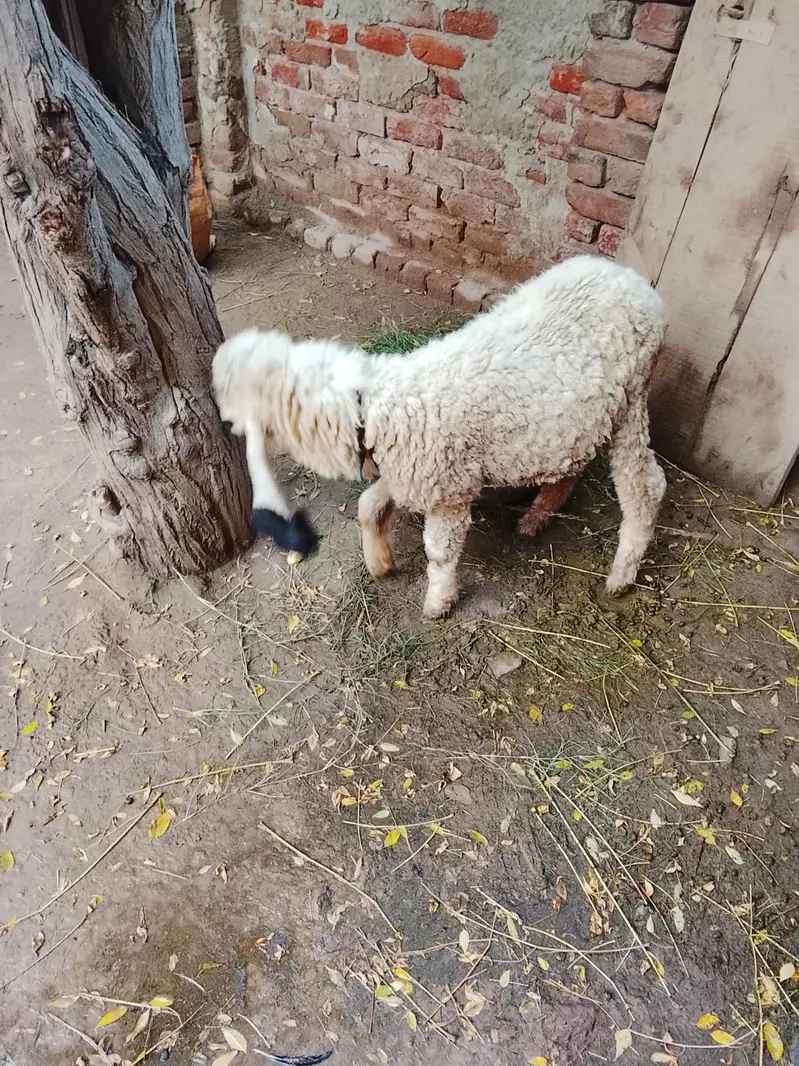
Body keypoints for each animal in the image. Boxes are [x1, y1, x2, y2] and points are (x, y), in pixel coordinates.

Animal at [212, 255, 667, 618]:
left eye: (227, 388)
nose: (224, 422)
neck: (372, 410)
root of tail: (637, 285)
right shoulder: (412, 473)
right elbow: (368, 505)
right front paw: (380, 562)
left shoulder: (448, 492)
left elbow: (439, 552)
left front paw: (438, 603)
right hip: (574, 422)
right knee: (571, 466)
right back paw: (536, 517)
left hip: (632, 400)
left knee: (647, 486)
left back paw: (621, 575)